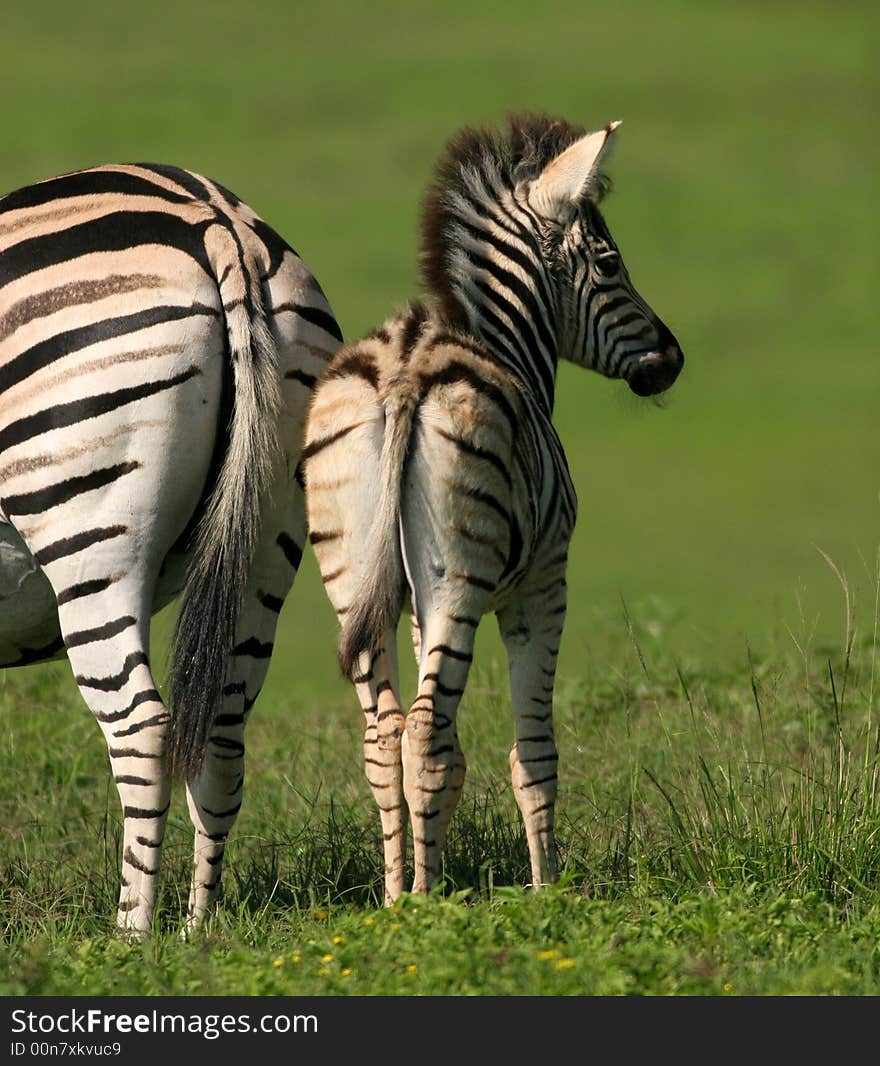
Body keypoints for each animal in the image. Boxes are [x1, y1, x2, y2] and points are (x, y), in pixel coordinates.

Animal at [0, 159, 340, 933]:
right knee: (222, 735)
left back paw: (132, 933)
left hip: (90, 535)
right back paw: (197, 929)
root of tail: (217, 223)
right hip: (267, 533)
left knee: (144, 732)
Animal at [304, 114, 681, 899]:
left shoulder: (417, 608)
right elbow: (534, 754)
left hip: (357, 581)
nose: (673, 360)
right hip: (460, 581)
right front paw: (548, 889)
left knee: (386, 735)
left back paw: (396, 896)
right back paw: (424, 902)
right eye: (609, 265)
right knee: (424, 735)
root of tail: (403, 369)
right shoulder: (543, 585)